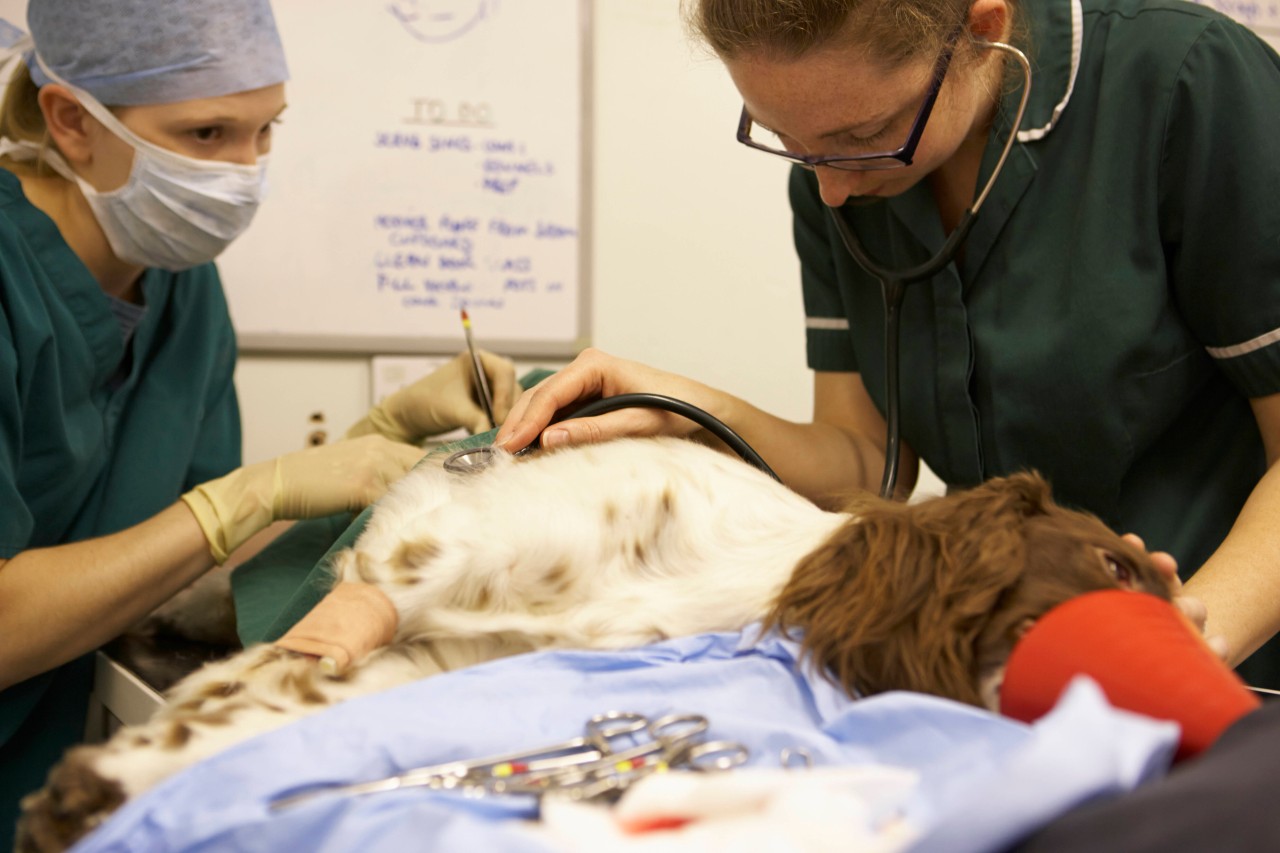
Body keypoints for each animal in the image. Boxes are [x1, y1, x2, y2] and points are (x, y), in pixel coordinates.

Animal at [15, 435, 1172, 845]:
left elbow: (260, 710)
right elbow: (263, 679)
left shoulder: (424, 654)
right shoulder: (412, 558)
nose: (1188, 656)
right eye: (1114, 567)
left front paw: (99, 787)